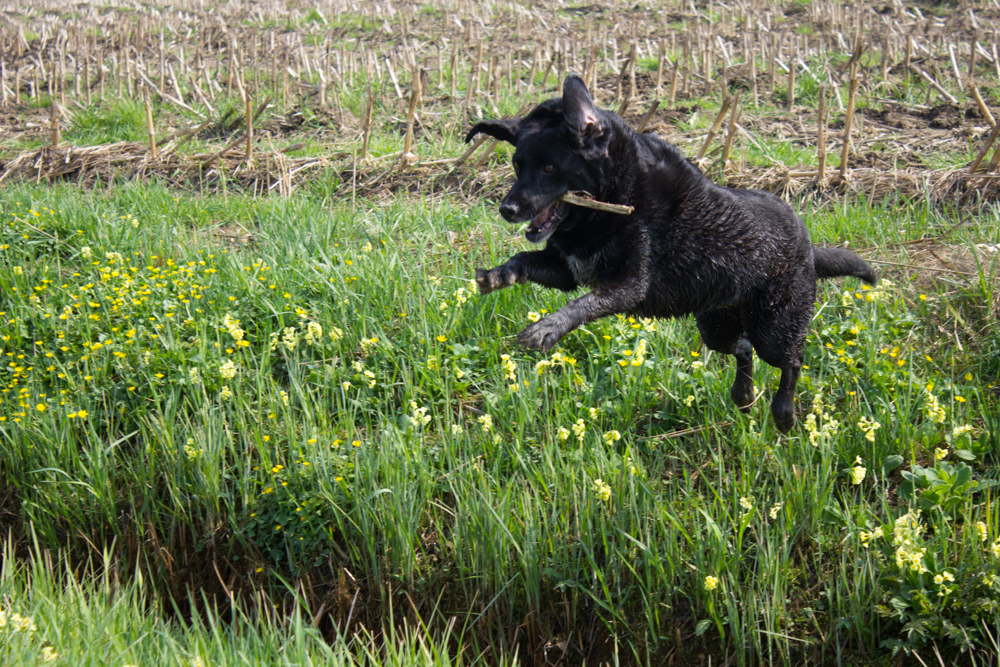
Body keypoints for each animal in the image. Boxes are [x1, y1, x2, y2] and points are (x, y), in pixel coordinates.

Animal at [464, 74, 872, 434]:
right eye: (517, 166)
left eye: (549, 167)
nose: (507, 209)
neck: (619, 196)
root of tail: (807, 244)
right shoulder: (567, 270)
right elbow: (525, 261)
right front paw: (500, 275)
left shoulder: (629, 284)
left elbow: (583, 304)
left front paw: (548, 327)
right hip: (717, 326)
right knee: (743, 349)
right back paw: (743, 395)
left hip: (774, 326)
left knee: (792, 359)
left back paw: (784, 412)